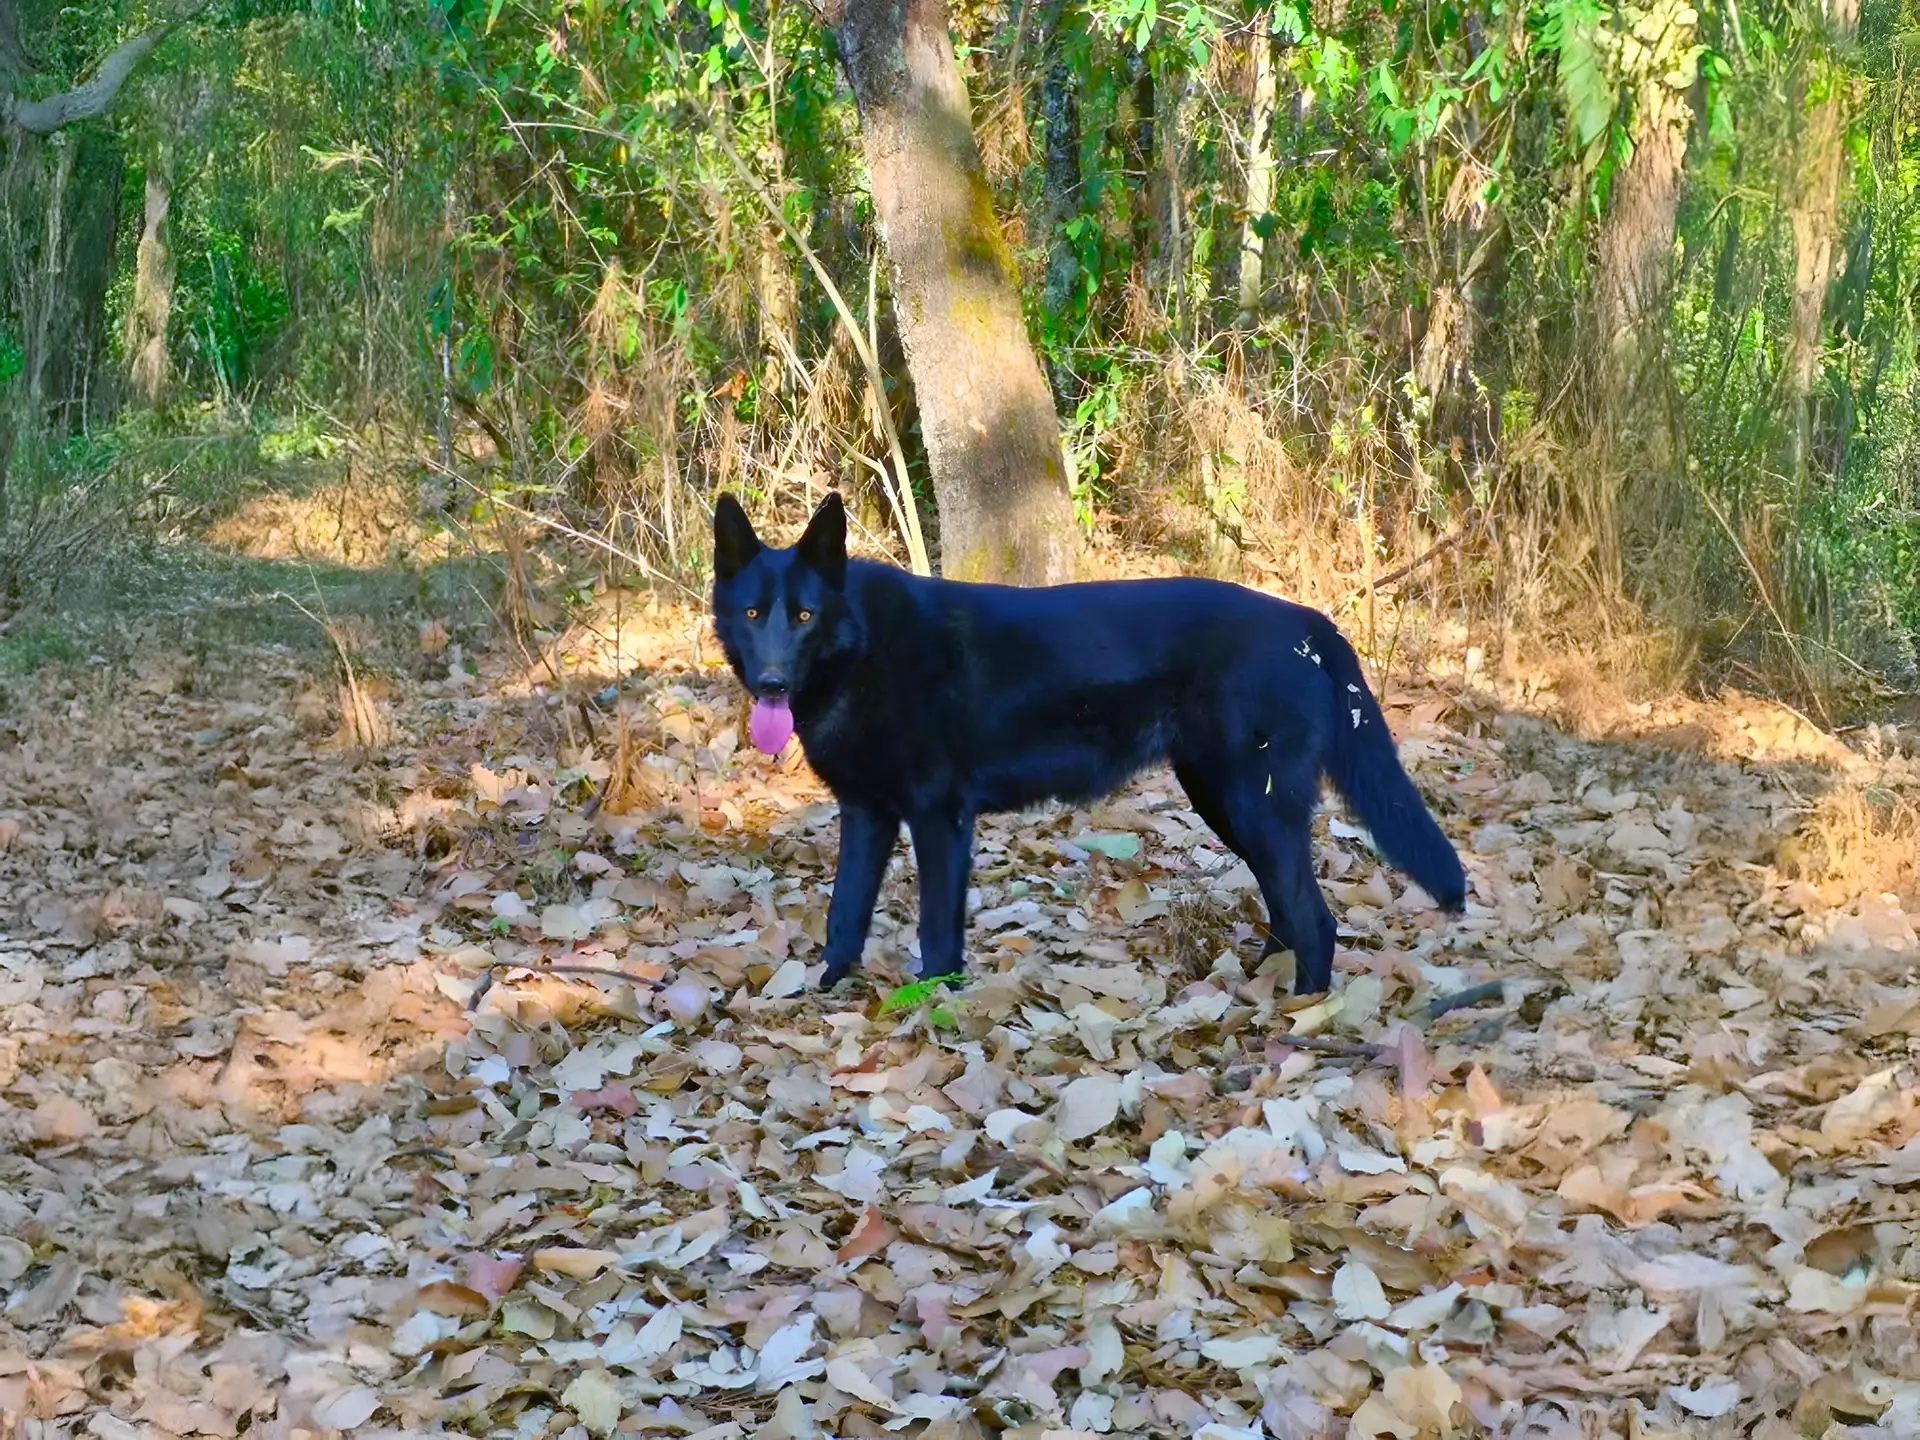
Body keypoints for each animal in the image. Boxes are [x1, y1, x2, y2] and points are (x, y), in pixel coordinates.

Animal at [714, 495, 1459, 990]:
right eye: (753, 613)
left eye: (804, 615)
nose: (773, 682)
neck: (864, 649)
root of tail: (1308, 623)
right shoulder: (867, 815)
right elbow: (844, 916)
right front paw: (828, 993)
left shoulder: (939, 819)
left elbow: (937, 932)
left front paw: (933, 1009)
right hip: (1227, 804)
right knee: (1287, 910)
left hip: (1254, 807)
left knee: (1316, 921)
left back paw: (1302, 1018)